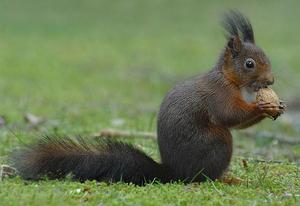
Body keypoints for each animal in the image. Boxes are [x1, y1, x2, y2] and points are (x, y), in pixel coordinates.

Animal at [9, 10, 284, 185]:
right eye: (249, 64)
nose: (271, 81)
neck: (229, 79)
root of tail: (174, 173)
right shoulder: (218, 94)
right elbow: (231, 115)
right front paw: (262, 107)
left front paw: (277, 105)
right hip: (218, 144)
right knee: (204, 176)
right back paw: (228, 180)